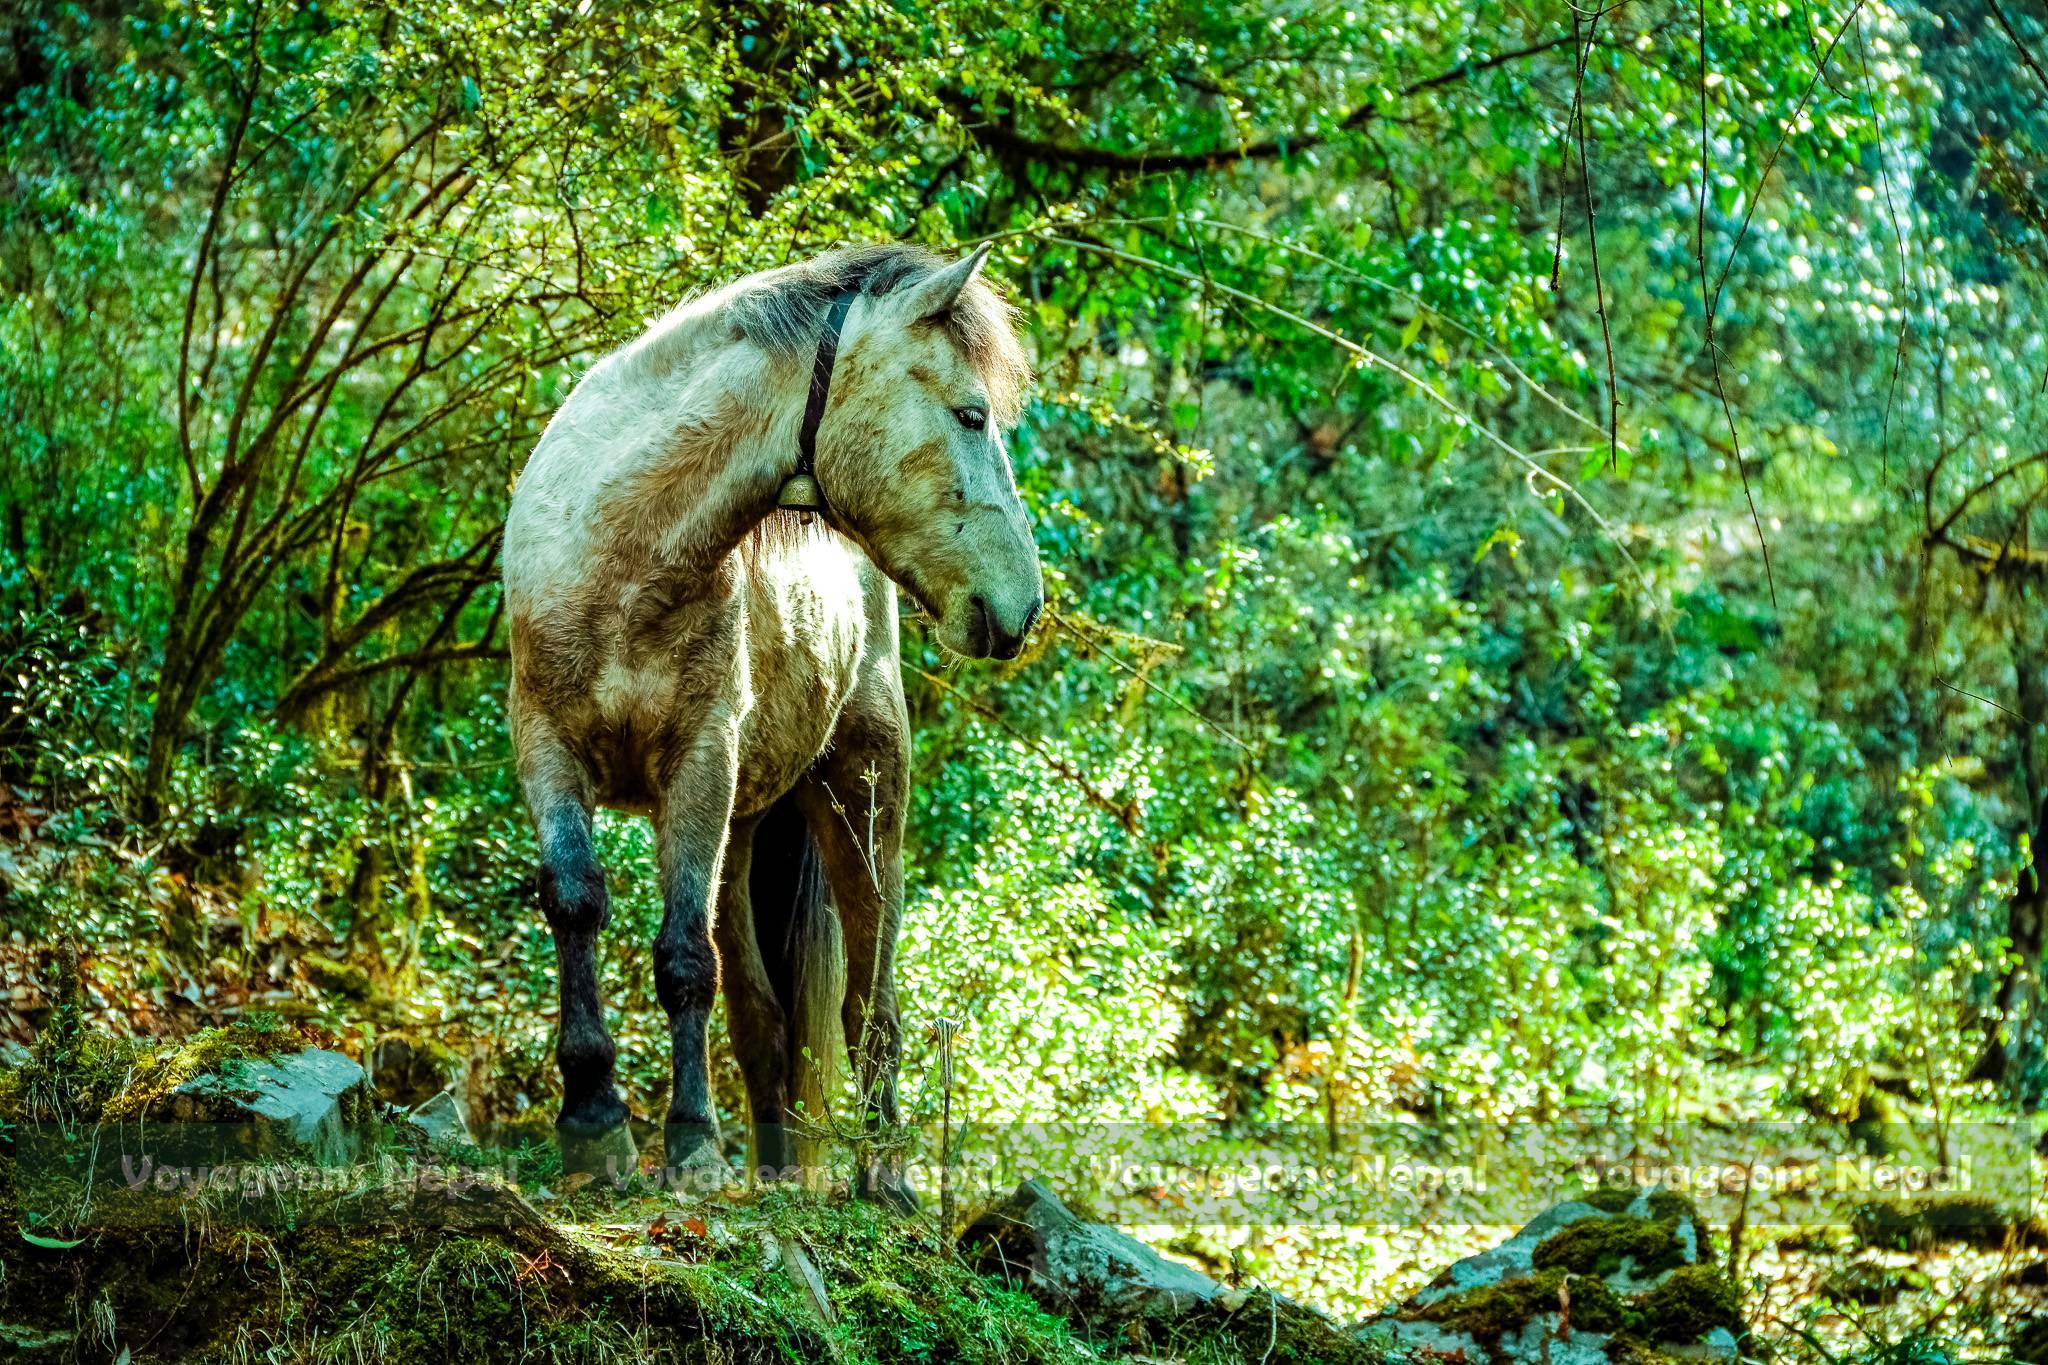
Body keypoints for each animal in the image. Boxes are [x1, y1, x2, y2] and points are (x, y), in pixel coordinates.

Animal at [497, 245, 1040, 1203]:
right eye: (971, 415)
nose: (1024, 604)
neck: (620, 555)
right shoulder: (548, 750)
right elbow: (575, 901)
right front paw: (593, 1120)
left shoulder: (698, 766)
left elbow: (683, 958)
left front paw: (691, 1143)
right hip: (745, 827)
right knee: (762, 1014)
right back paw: (779, 1170)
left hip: (863, 795)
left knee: (869, 1003)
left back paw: (881, 1176)